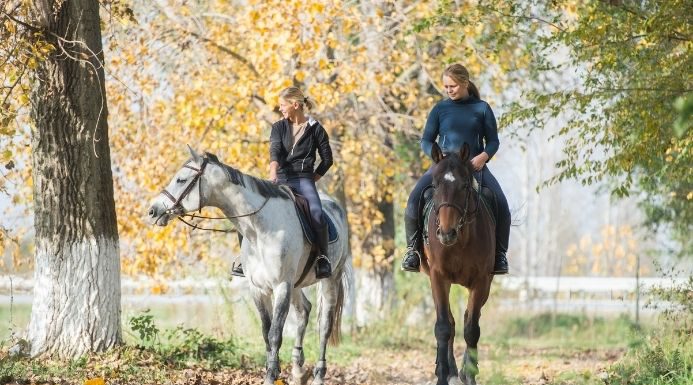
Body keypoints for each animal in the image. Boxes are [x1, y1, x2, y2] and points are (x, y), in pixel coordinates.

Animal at [146, 147, 352, 384]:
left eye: (181, 179)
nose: (152, 211)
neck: (261, 229)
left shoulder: (281, 286)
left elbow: (275, 333)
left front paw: (270, 376)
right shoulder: (258, 289)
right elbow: (266, 332)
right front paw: (274, 370)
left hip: (330, 280)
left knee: (324, 325)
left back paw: (318, 375)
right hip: (297, 284)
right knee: (304, 311)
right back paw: (298, 370)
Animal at [418, 142, 494, 384]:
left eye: (464, 185)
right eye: (435, 185)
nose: (446, 233)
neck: (460, 240)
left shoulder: (481, 281)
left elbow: (471, 328)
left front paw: (469, 374)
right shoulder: (438, 277)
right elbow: (443, 327)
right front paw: (443, 374)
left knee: (467, 318)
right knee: (448, 322)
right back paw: (448, 369)